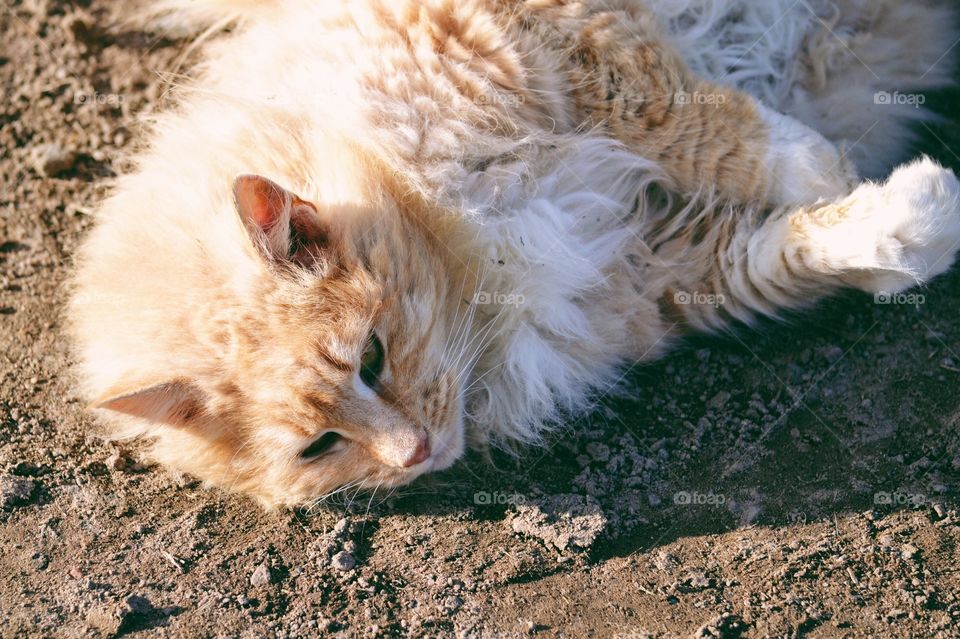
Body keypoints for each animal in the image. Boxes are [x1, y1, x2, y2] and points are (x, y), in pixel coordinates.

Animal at [71, 1, 960, 510]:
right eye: (319, 447)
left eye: (372, 356)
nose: (414, 453)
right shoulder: (645, 268)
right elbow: (778, 254)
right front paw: (915, 221)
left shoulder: (543, 36)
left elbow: (702, 124)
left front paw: (829, 165)